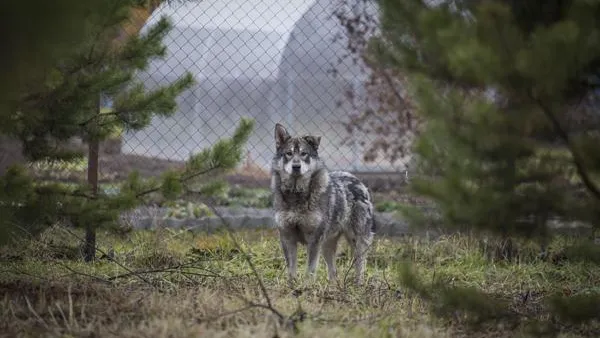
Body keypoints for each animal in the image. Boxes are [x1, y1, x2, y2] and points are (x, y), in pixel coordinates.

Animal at [270, 123, 376, 284]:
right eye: (288, 153)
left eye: (304, 154)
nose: (296, 166)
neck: (297, 195)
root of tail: (356, 180)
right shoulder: (287, 238)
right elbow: (291, 270)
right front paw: (292, 286)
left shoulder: (314, 240)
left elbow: (310, 270)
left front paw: (306, 287)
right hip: (327, 245)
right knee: (333, 272)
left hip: (356, 240)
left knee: (360, 265)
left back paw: (358, 284)